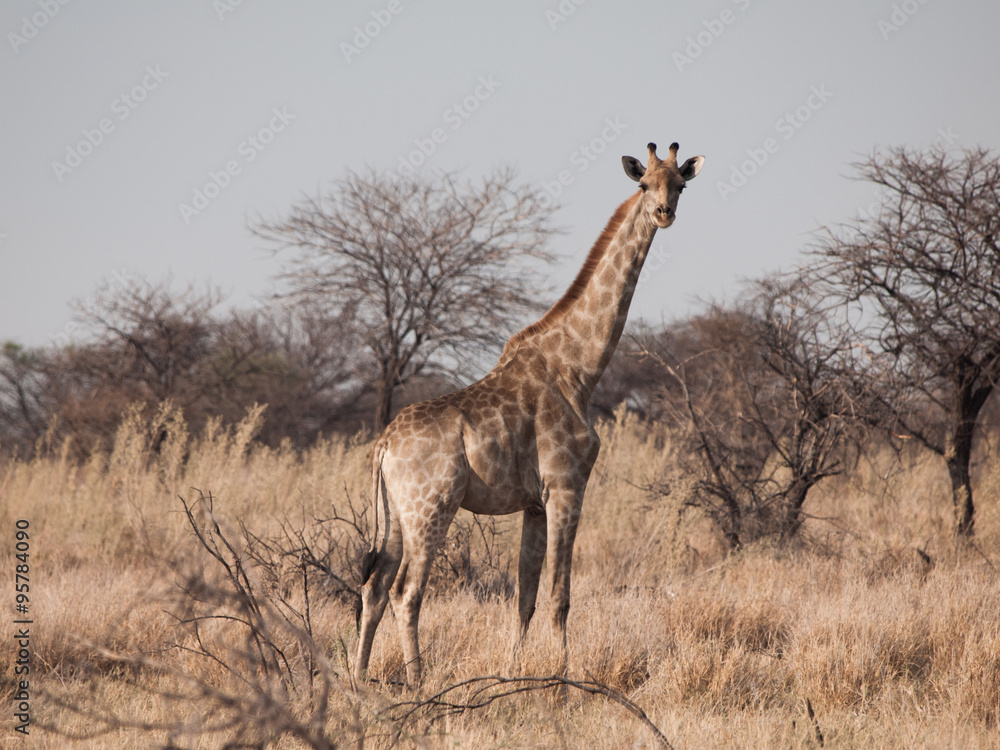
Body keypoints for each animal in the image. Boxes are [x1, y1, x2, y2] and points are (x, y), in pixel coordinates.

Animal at [354, 142, 705, 686]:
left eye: (681, 185)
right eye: (645, 184)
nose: (664, 213)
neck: (579, 368)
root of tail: (384, 445)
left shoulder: (534, 504)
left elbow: (526, 598)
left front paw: (513, 674)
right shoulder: (566, 486)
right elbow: (560, 596)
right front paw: (563, 682)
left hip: (394, 513)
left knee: (373, 588)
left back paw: (357, 681)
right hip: (430, 508)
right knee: (405, 593)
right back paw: (418, 683)